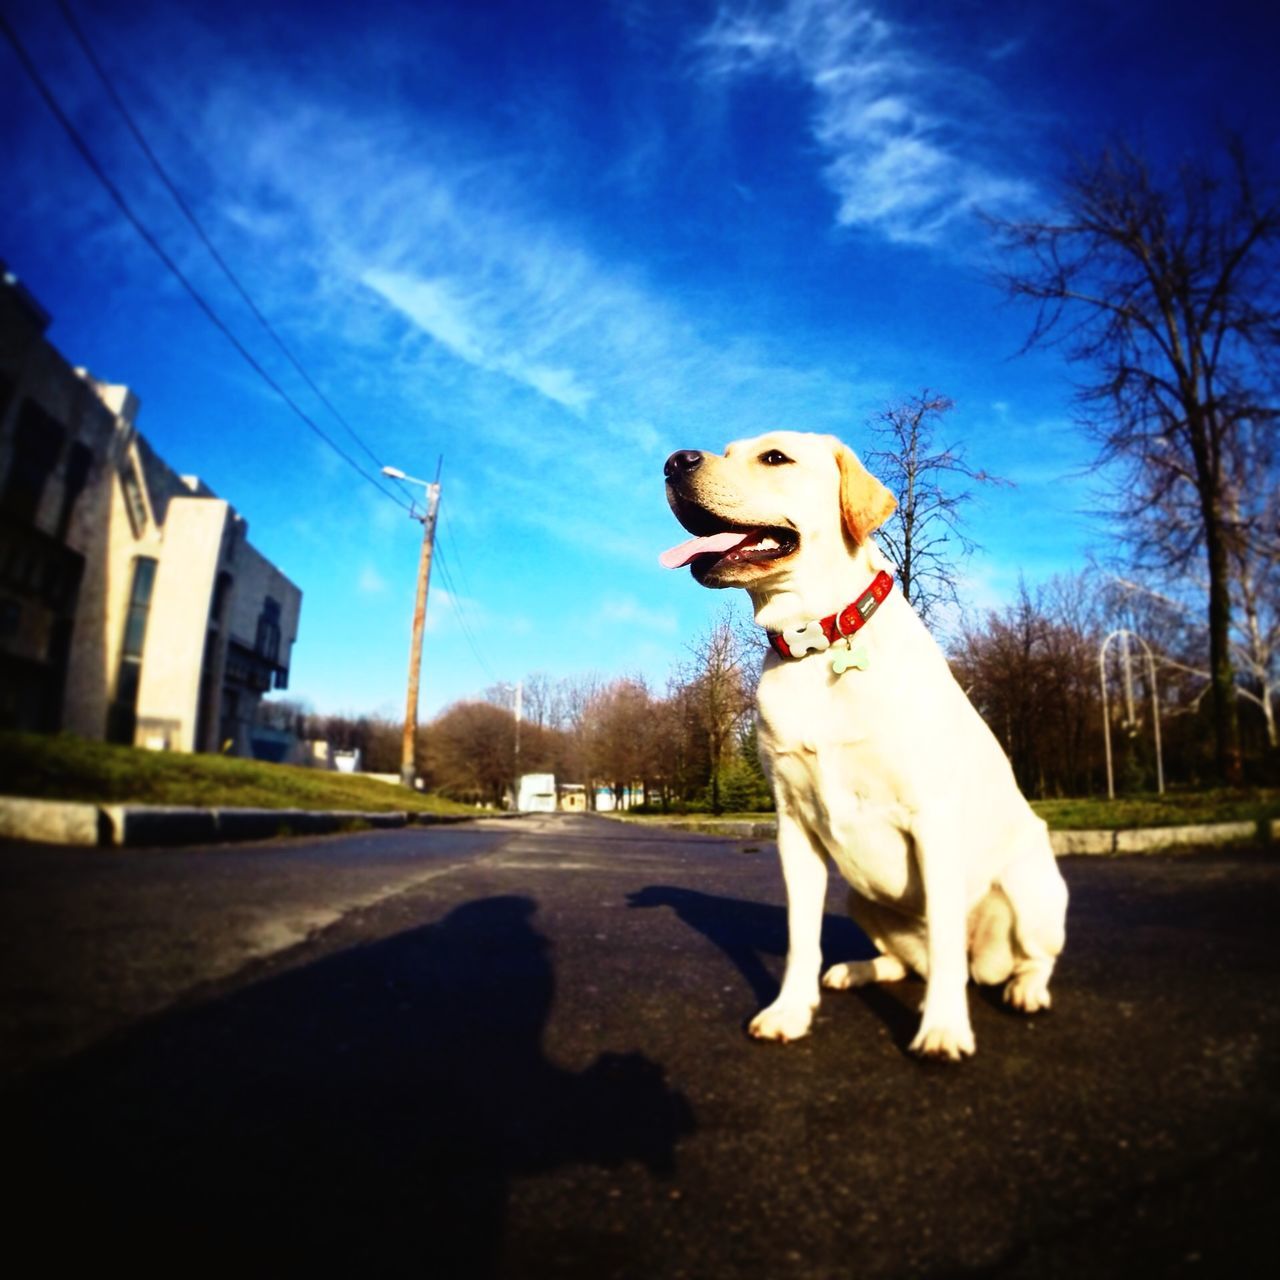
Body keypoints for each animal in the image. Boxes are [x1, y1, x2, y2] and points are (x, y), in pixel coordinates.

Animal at [660, 430, 1070, 1059]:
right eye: (726, 450)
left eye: (774, 457)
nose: (674, 461)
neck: (817, 641)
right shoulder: (794, 828)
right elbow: (801, 937)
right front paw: (790, 1011)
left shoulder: (932, 820)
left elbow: (946, 940)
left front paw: (943, 1029)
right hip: (860, 896)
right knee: (907, 964)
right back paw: (855, 971)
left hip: (1030, 887)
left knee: (1019, 958)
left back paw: (1024, 989)